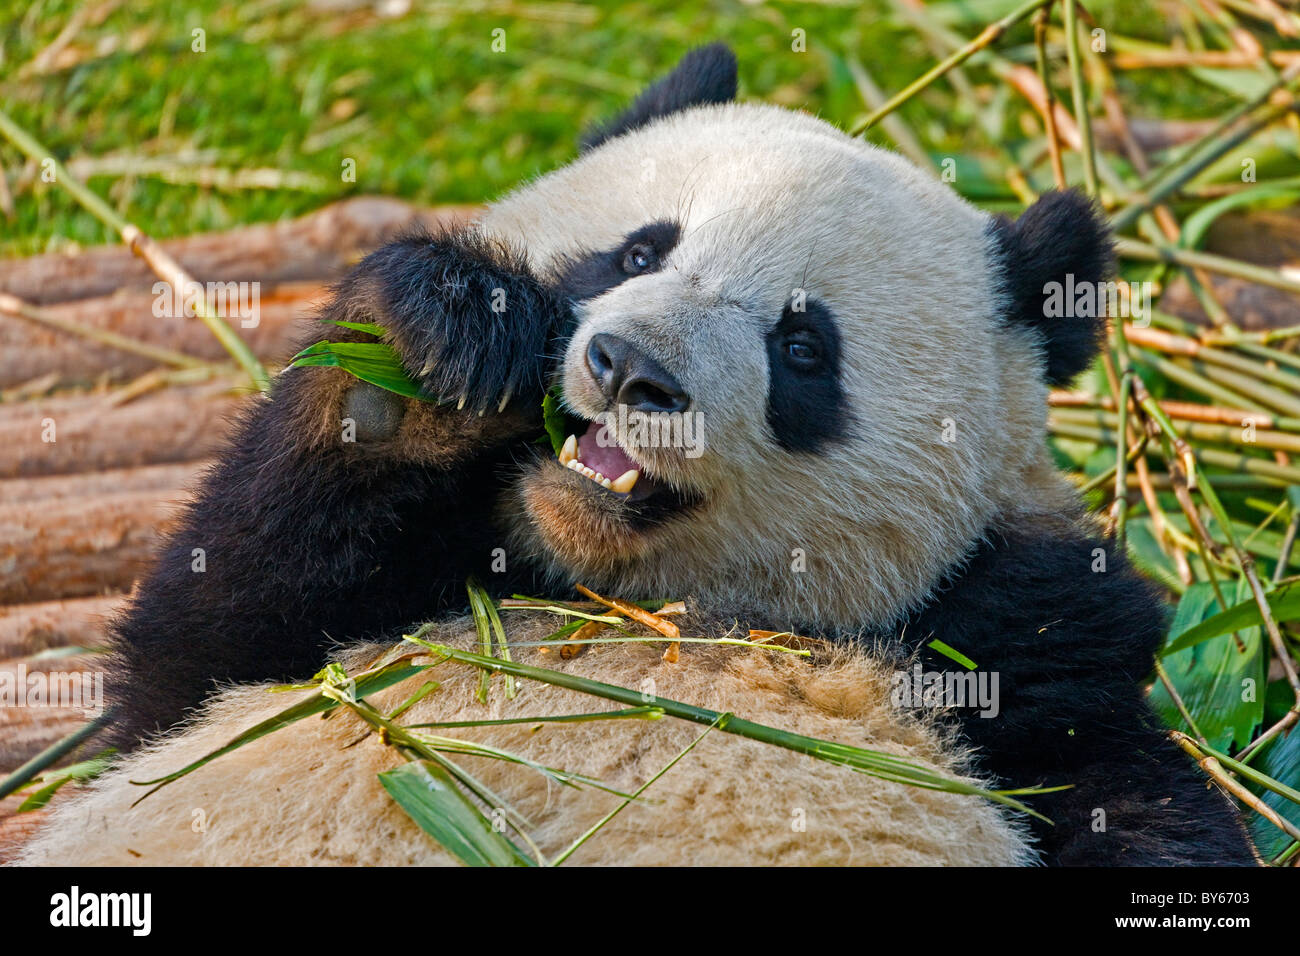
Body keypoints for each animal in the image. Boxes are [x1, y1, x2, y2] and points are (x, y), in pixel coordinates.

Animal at [17, 42, 1258, 868]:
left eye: (802, 345)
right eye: (635, 250)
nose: (630, 369)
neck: (628, 604)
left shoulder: (1021, 680)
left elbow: (1133, 795)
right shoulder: (271, 658)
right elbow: (195, 654)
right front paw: (441, 345)